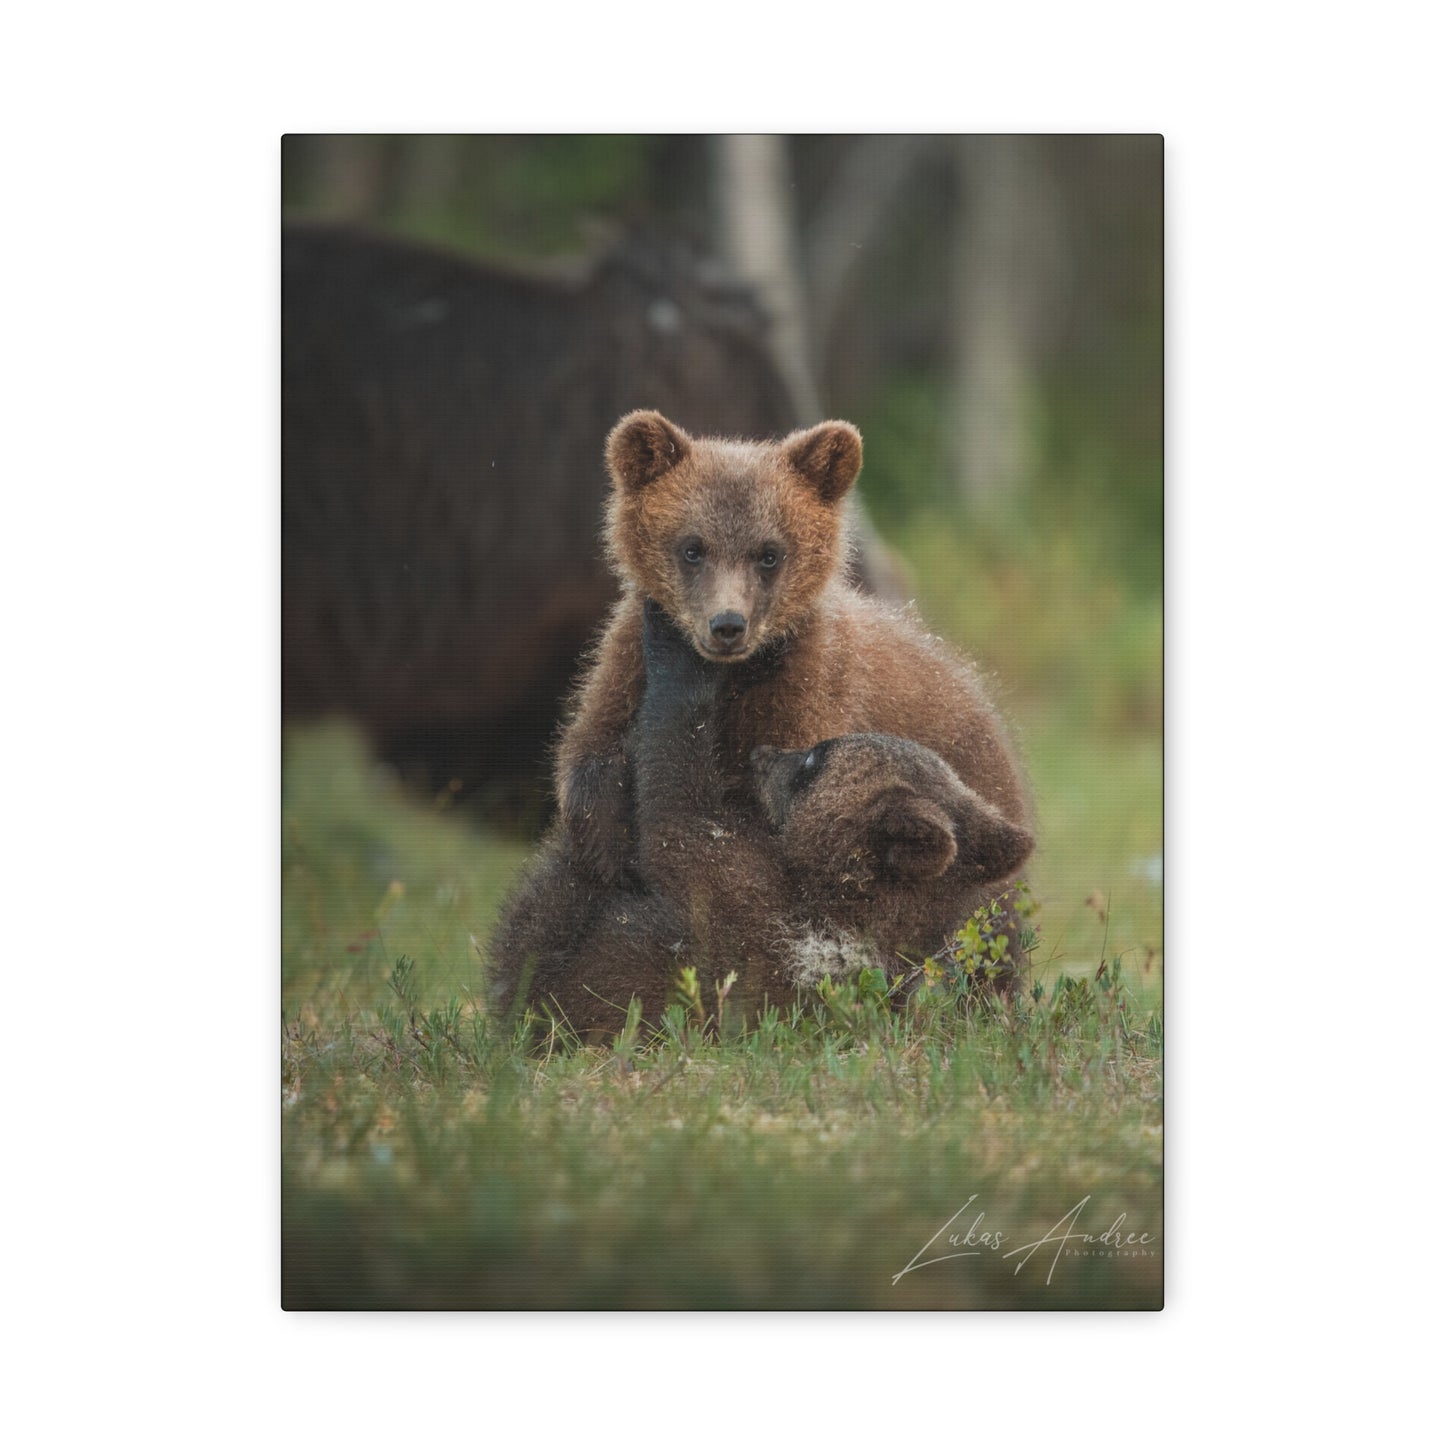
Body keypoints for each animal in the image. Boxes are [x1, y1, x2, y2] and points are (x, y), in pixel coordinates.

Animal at [555, 409, 1031, 886]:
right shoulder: (626, 666)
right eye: (692, 548)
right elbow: (593, 762)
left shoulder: (803, 691)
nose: (728, 625)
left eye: (769, 553)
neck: (733, 676)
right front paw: (609, 848)